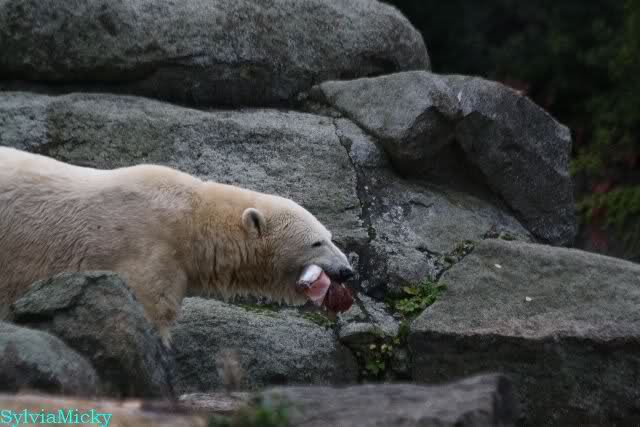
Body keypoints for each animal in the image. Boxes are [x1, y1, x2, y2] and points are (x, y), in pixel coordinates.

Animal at [0, 147, 354, 344]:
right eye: (316, 242)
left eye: (330, 236)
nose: (347, 271)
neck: (191, 218)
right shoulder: (146, 247)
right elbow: (149, 309)